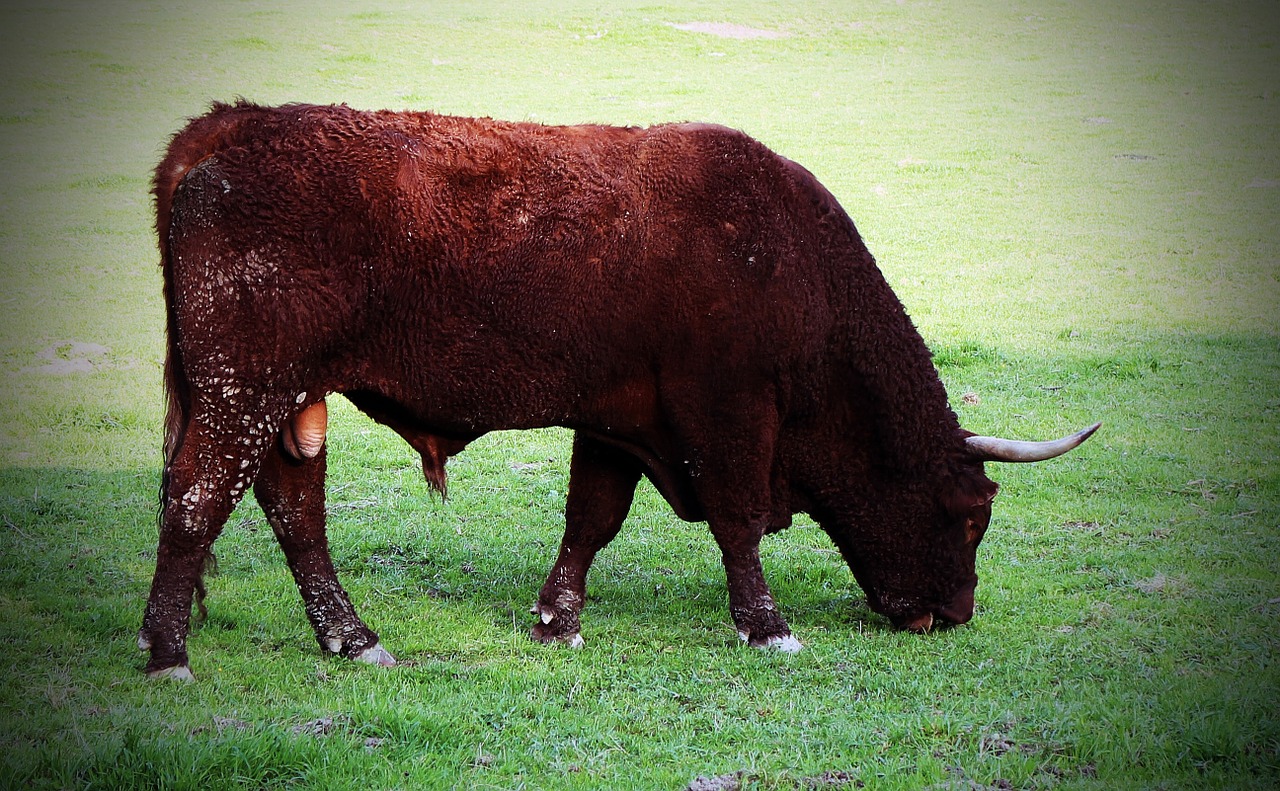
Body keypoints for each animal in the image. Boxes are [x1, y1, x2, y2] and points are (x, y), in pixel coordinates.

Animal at [140, 99, 1100, 675]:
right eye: (971, 516)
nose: (956, 613)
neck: (792, 262)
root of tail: (231, 128)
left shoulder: (617, 416)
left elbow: (592, 516)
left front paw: (557, 617)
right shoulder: (729, 412)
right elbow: (738, 521)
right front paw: (766, 624)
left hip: (285, 402)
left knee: (292, 509)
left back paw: (352, 637)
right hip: (241, 391)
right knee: (194, 503)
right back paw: (167, 651)